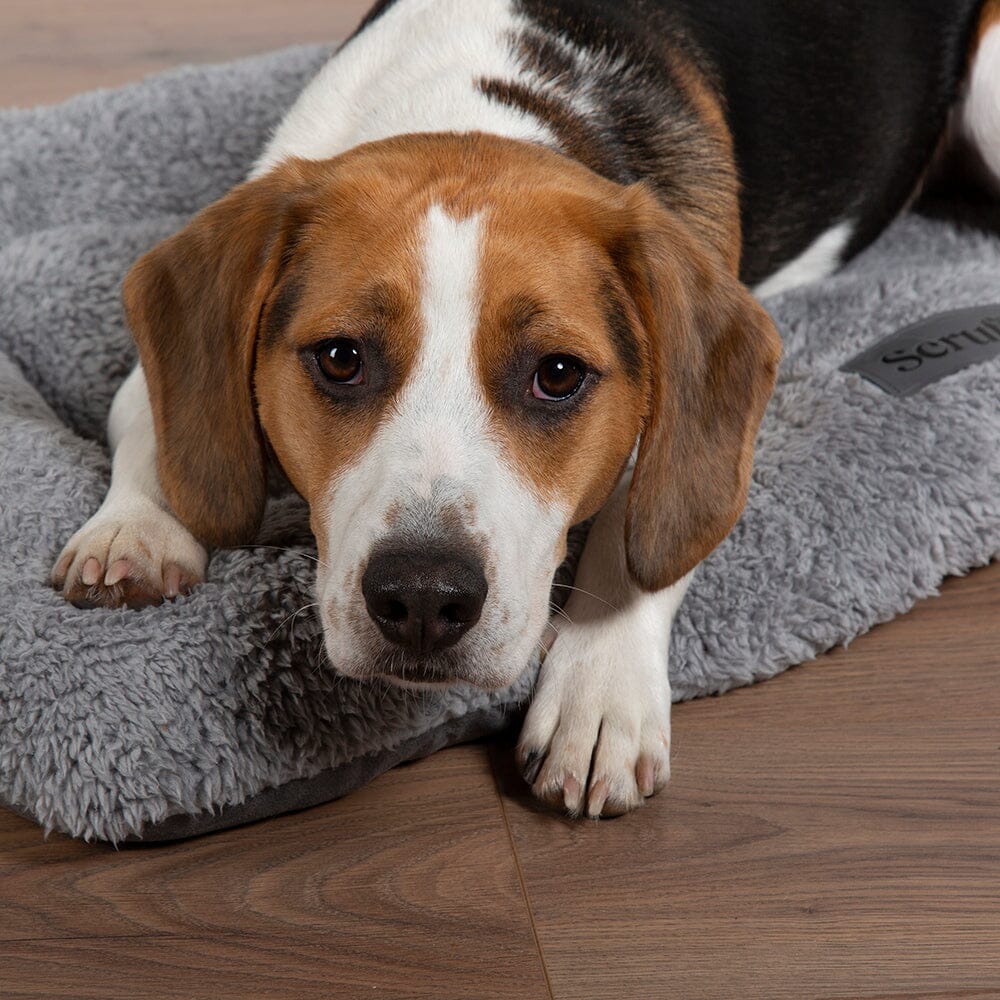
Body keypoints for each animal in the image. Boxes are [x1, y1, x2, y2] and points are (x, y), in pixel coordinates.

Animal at [50, 0, 1000, 820]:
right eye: (341, 358)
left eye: (557, 375)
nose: (422, 599)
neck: (477, 98)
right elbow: (149, 415)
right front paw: (135, 528)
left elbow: (638, 528)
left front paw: (599, 691)